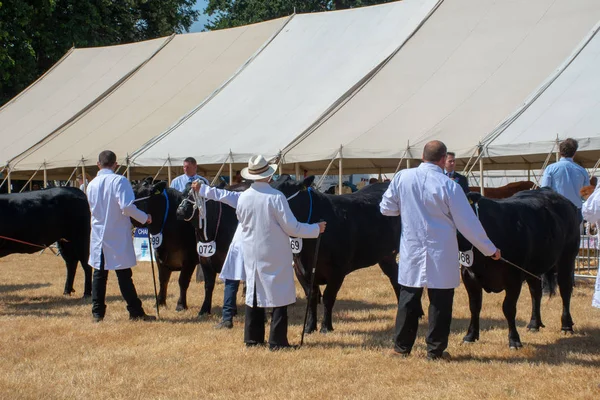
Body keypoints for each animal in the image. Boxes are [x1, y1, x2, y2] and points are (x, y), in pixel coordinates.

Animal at [270, 175, 400, 334]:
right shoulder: (299, 270)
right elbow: (311, 297)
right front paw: (309, 327)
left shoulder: (338, 270)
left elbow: (328, 297)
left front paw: (326, 327)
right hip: (386, 257)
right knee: (396, 279)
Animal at [458, 189, 580, 348]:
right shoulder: (468, 275)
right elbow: (474, 306)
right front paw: (470, 336)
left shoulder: (513, 277)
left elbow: (508, 308)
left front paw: (514, 340)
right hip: (534, 269)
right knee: (536, 293)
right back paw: (534, 324)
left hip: (567, 258)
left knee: (565, 290)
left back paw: (566, 326)